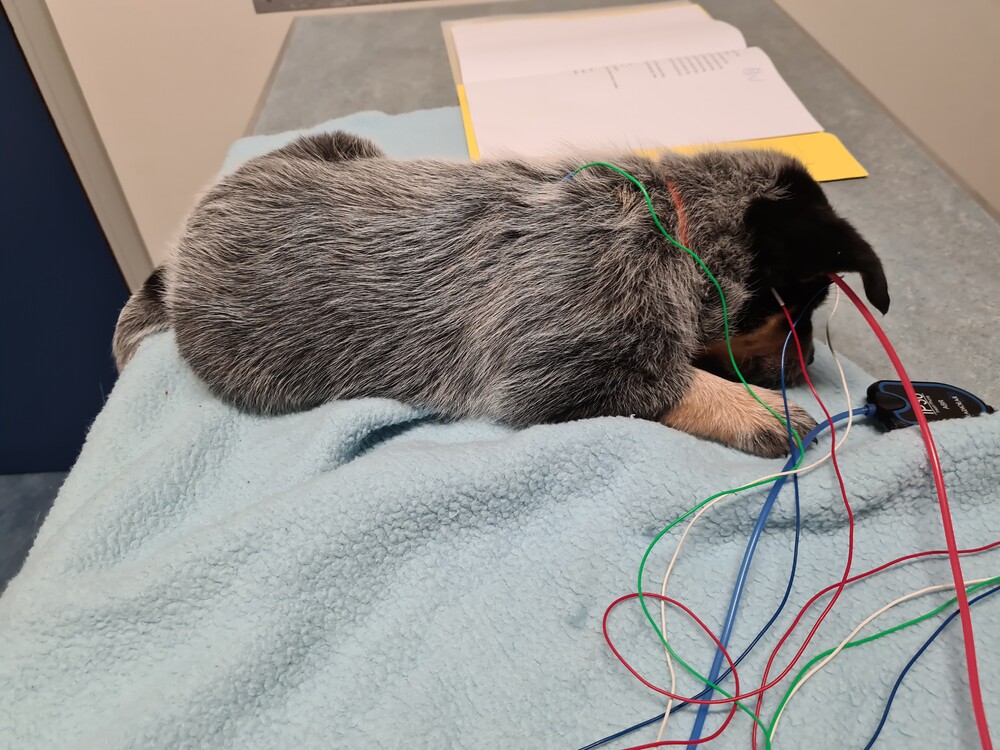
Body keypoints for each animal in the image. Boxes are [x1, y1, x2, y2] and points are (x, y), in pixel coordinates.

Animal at [113, 132, 889, 458]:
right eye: (798, 304)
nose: (800, 367)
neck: (669, 222)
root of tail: (180, 254)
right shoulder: (557, 365)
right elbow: (672, 382)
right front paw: (758, 410)